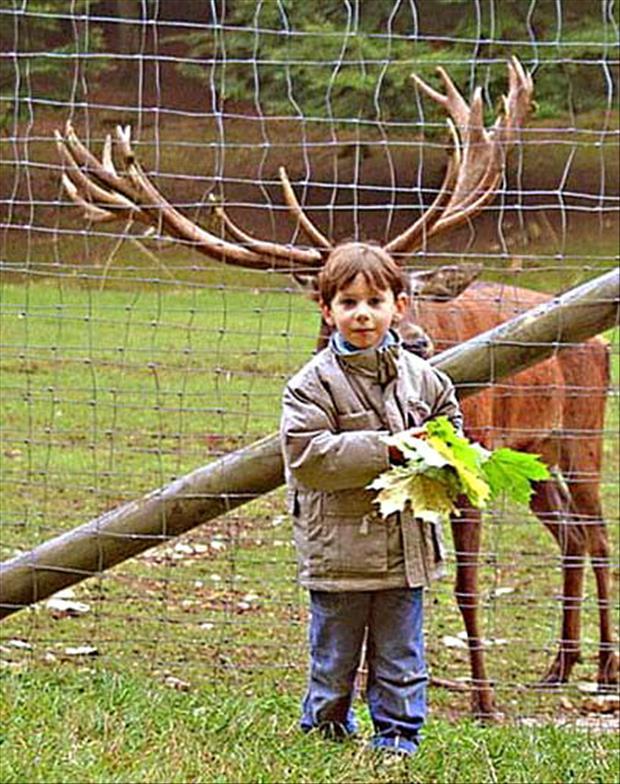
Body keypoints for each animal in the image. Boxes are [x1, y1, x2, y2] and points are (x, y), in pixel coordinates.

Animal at [55, 56, 616, 716]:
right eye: (344, 296)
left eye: (410, 288)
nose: (417, 341)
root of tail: (601, 344)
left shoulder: (470, 457)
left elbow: (466, 586)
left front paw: (483, 701)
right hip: (535, 454)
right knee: (573, 537)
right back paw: (560, 665)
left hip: (581, 434)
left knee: (598, 535)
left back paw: (605, 670)